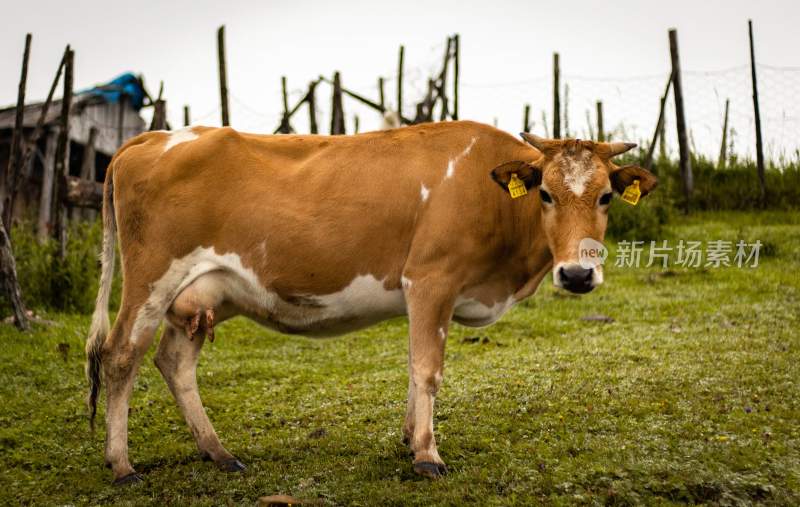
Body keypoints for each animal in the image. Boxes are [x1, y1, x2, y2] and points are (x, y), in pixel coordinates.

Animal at [84, 121, 656, 486]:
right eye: (545, 194)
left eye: (606, 196)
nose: (578, 273)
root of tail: (154, 137)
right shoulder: (430, 278)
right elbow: (428, 368)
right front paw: (426, 455)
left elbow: (412, 368)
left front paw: (409, 437)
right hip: (151, 279)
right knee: (120, 357)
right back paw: (122, 465)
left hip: (200, 294)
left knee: (173, 361)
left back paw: (219, 453)